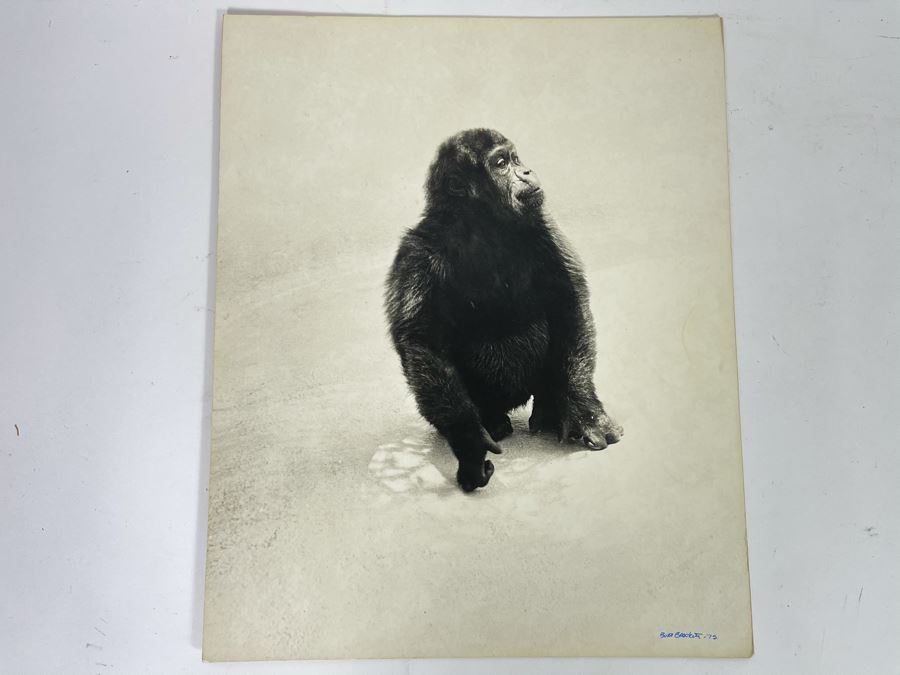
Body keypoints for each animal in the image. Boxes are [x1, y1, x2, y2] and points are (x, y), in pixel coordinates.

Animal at [385, 129, 622, 492]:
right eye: (500, 163)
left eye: (514, 158)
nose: (525, 171)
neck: (482, 224)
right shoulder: (417, 255)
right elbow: (423, 343)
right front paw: (469, 444)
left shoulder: (545, 228)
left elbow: (569, 303)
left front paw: (586, 413)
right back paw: (491, 422)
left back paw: (550, 409)